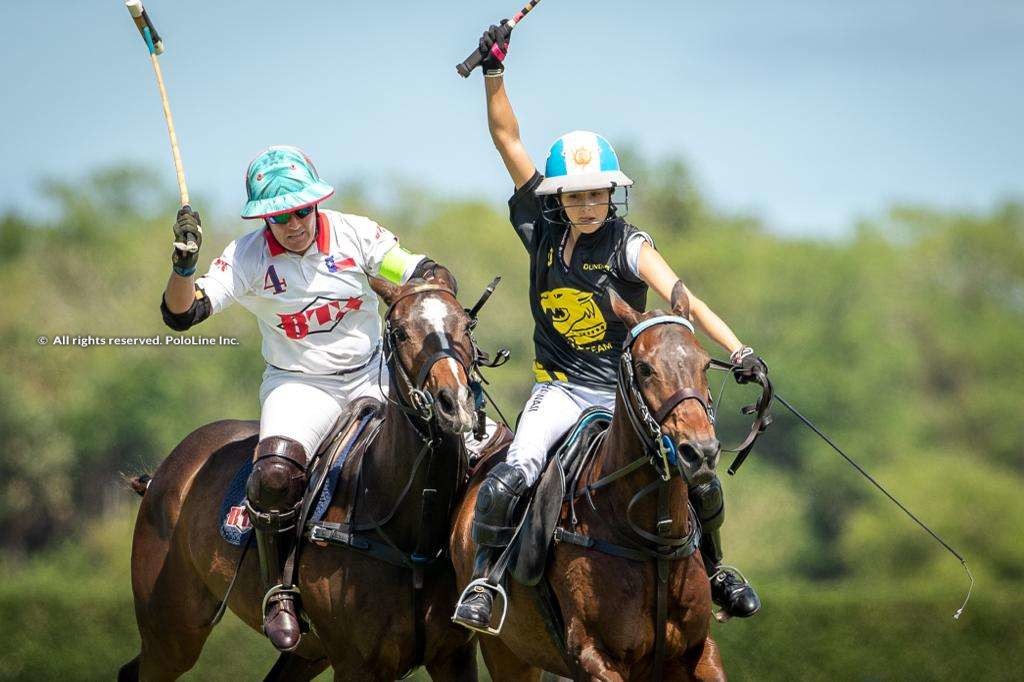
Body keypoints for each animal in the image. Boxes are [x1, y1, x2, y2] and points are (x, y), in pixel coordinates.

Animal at [119, 274, 487, 675]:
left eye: (466, 325)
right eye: (401, 332)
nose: (454, 403)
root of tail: (164, 473)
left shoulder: (453, 655)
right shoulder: (355, 663)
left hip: (304, 653)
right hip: (171, 629)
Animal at [454, 288, 729, 679]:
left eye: (705, 364)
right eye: (645, 368)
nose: (701, 452)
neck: (652, 539)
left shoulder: (699, 650)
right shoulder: (593, 655)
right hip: (505, 650)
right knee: (507, 483)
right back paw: (477, 599)